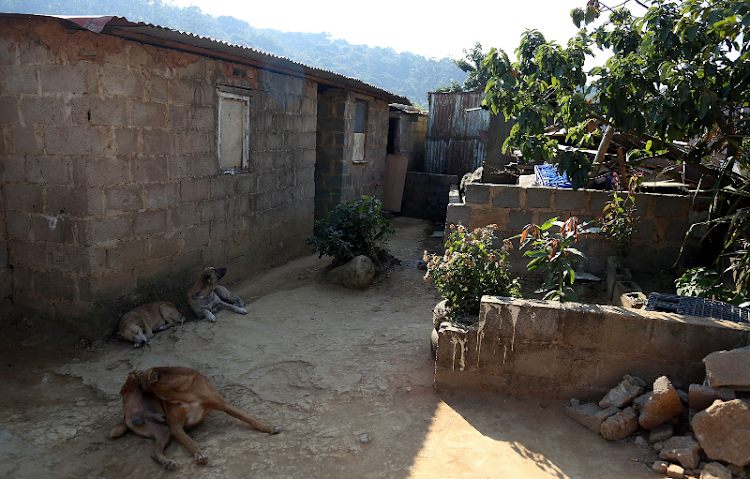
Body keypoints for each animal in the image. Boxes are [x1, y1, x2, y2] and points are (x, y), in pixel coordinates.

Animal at [137, 368, 280, 464]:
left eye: (142, 374)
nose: (137, 373)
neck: (183, 394)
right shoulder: (175, 427)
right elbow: (190, 441)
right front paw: (199, 454)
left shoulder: (223, 404)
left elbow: (248, 417)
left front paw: (268, 427)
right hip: (163, 430)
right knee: (154, 451)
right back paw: (166, 462)